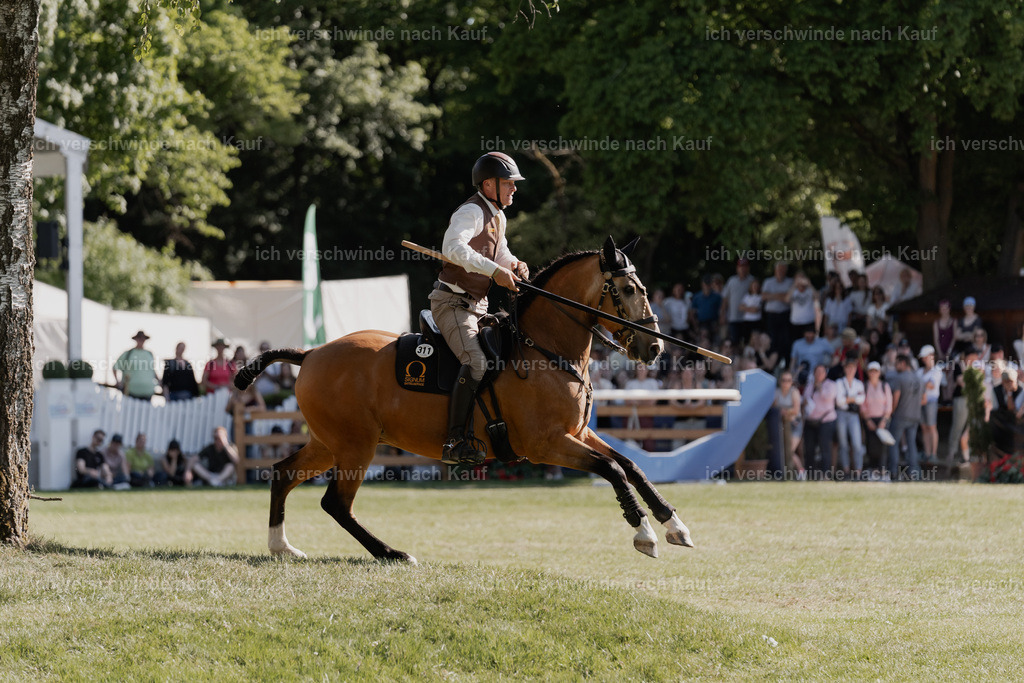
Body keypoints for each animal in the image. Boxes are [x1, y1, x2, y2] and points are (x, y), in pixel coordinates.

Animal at [234, 236, 693, 563]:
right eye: (628, 289)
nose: (655, 348)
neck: (545, 348)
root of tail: (310, 353)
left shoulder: (577, 433)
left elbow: (630, 465)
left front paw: (674, 524)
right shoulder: (546, 444)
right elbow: (612, 469)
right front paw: (644, 533)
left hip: (329, 443)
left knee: (282, 474)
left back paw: (281, 547)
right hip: (354, 445)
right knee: (335, 503)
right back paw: (391, 553)